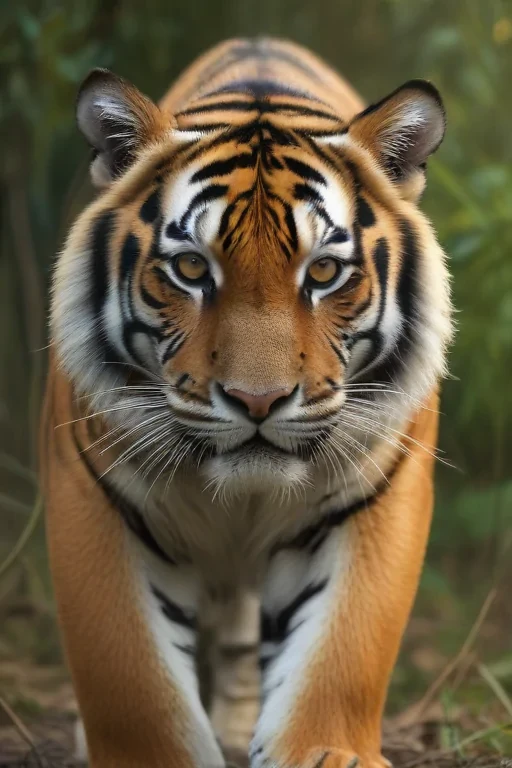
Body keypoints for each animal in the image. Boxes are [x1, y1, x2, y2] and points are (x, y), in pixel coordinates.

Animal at [42, 37, 452, 768]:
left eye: (324, 272)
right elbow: (131, 677)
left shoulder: (377, 493)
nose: (256, 401)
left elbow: (342, 651)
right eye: (191, 269)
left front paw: (327, 752)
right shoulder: (91, 492)